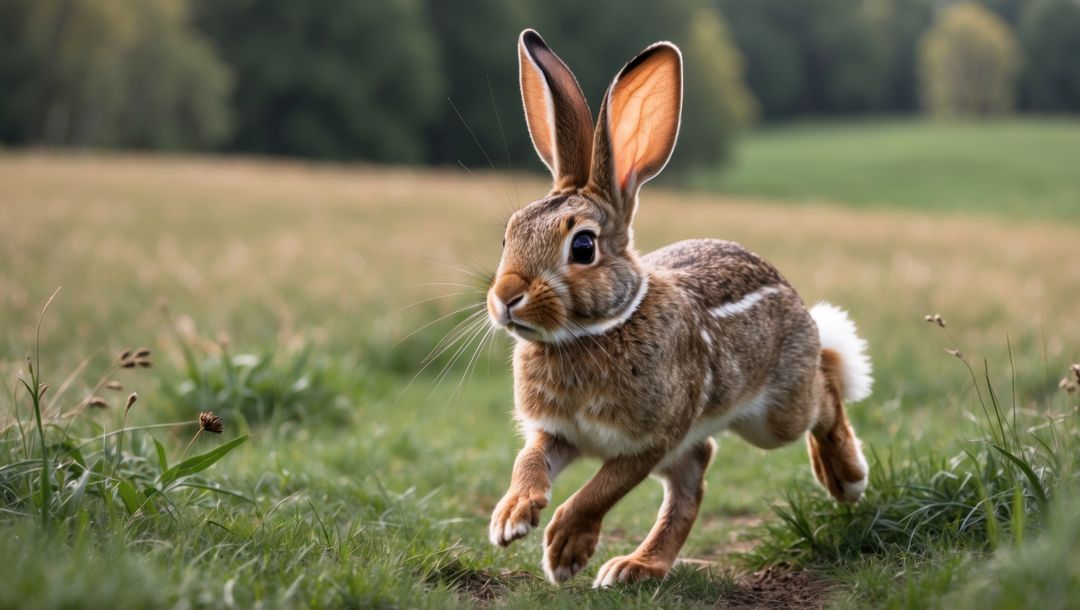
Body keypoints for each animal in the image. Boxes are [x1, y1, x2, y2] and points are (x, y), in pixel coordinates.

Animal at [485, 29, 873, 588]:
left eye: (582, 247)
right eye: (507, 236)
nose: (506, 297)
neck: (597, 329)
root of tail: (791, 293)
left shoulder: (651, 439)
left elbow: (599, 491)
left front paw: (564, 550)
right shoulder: (556, 432)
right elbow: (528, 462)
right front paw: (511, 518)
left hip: (773, 418)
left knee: (824, 393)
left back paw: (846, 477)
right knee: (693, 482)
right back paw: (637, 567)